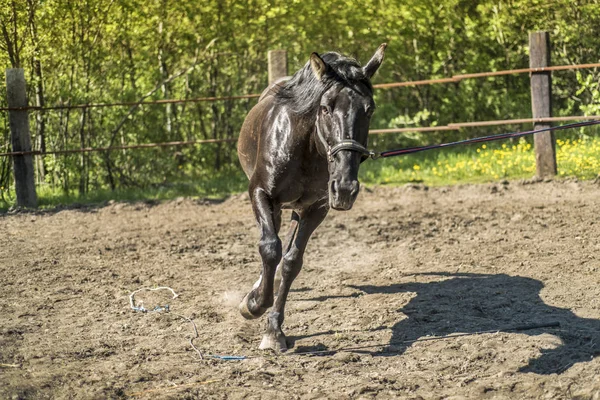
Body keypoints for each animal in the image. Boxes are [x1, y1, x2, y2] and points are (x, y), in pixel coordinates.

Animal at [237, 43, 386, 350]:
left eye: (370, 109)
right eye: (326, 107)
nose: (345, 188)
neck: (305, 148)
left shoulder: (316, 208)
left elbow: (292, 261)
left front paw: (274, 330)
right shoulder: (259, 193)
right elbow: (269, 247)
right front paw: (254, 304)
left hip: (296, 208)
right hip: (275, 206)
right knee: (271, 241)